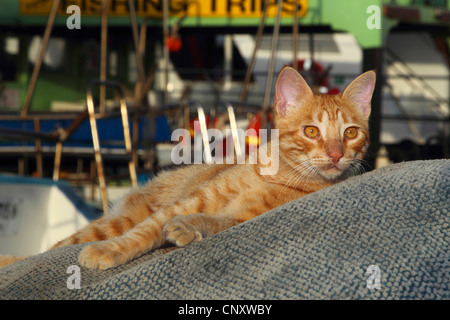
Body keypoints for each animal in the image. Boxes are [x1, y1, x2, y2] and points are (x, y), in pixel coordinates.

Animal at [0, 67, 376, 270]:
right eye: (312, 131)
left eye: (350, 133)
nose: (336, 155)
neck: (280, 171)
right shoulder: (192, 199)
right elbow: (145, 231)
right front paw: (112, 251)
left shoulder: (241, 217)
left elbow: (213, 221)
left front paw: (187, 228)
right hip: (112, 221)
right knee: (50, 248)